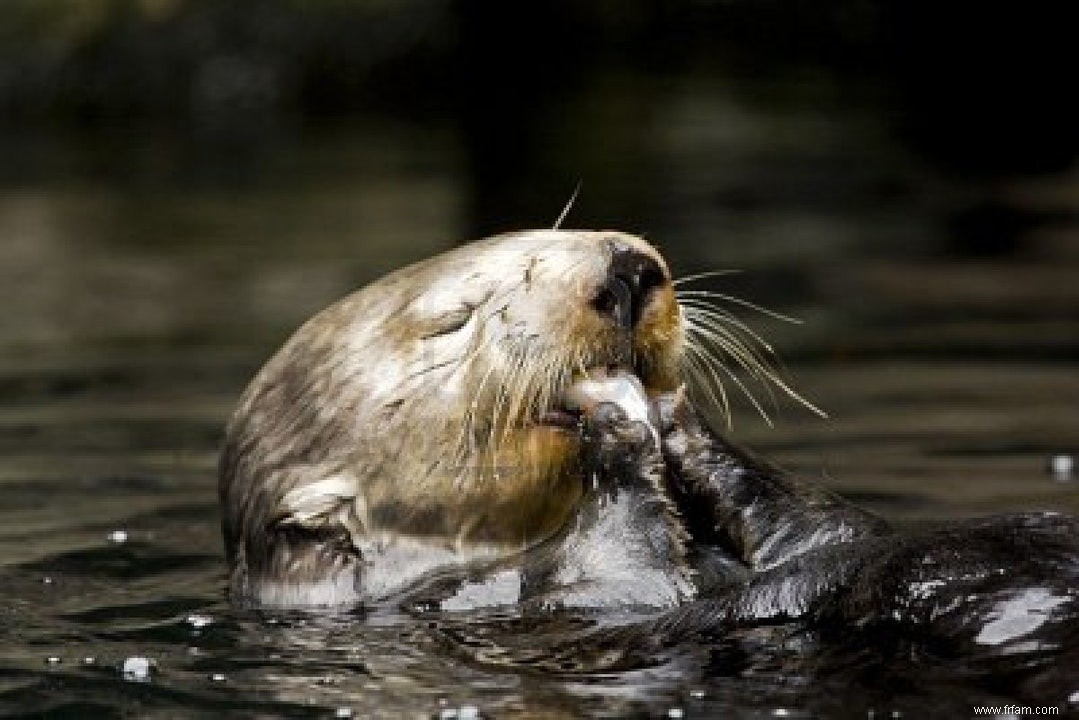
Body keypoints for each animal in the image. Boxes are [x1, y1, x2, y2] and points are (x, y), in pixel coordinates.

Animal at [221, 231, 1079, 699]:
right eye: (450, 321)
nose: (625, 269)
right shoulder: (522, 604)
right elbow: (632, 576)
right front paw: (620, 427)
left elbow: (826, 521)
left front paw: (679, 419)